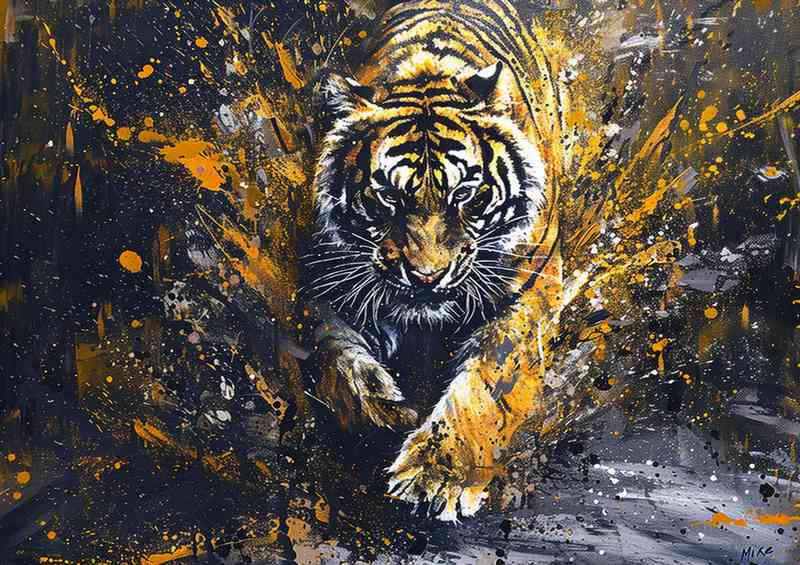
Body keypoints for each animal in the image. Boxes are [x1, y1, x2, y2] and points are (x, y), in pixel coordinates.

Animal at [304, 0, 573, 521]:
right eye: (388, 195)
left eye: (464, 193)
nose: (426, 277)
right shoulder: (327, 284)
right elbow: (337, 357)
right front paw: (386, 413)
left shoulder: (526, 295)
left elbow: (484, 386)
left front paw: (436, 475)